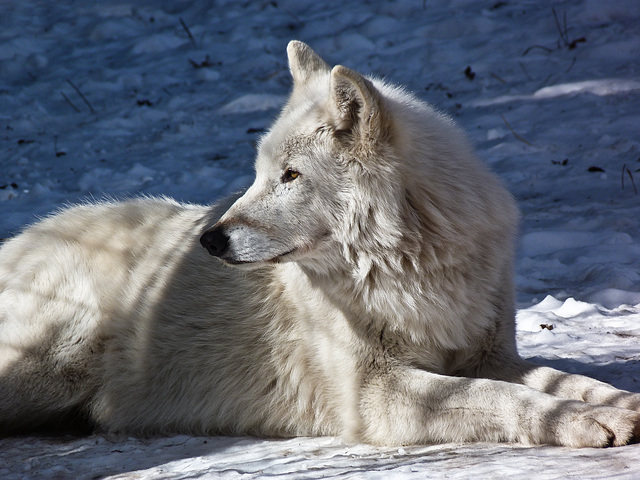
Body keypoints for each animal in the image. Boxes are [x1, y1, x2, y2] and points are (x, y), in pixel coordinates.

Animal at [1, 41, 640, 446]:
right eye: (258, 174)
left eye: (290, 175)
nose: (209, 239)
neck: (410, 267)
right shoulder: (375, 394)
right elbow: (502, 397)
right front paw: (581, 423)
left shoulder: (491, 355)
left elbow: (558, 378)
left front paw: (616, 403)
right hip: (52, 358)